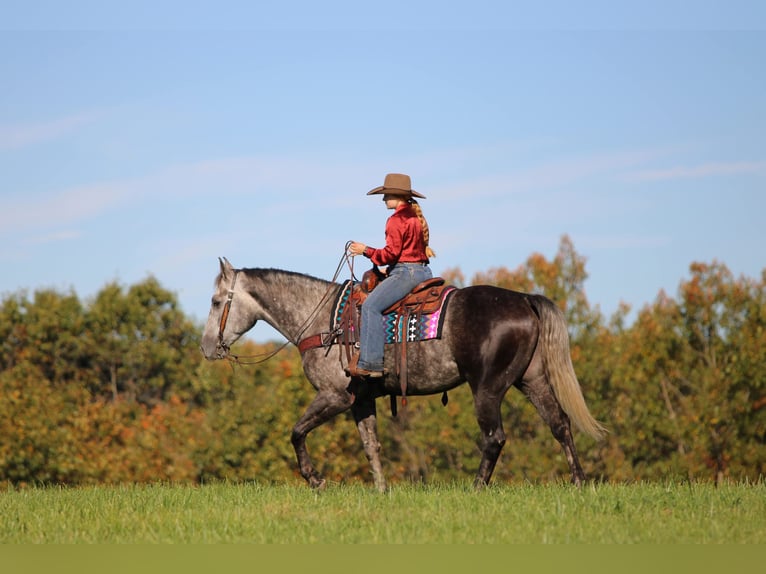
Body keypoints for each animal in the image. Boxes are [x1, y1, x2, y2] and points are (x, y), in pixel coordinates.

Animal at [200, 257, 606, 492]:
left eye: (217, 302)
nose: (206, 347)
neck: (322, 320)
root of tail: (523, 299)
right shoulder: (360, 400)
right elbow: (371, 446)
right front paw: (381, 491)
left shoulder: (334, 395)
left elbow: (297, 432)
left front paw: (315, 479)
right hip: (532, 380)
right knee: (560, 425)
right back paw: (579, 483)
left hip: (488, 389)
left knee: (495, 437)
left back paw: (476, 487)